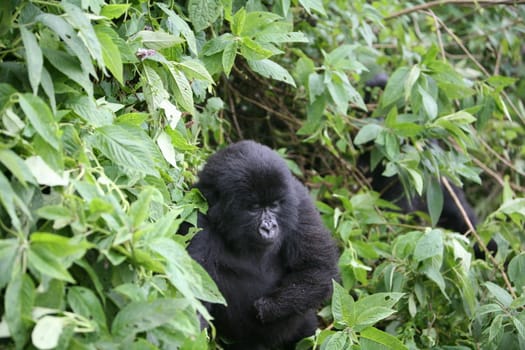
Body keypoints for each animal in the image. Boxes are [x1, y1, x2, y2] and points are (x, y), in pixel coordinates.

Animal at [186, 140, 338, 350]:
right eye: (254, 208)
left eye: (274, 205)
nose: (269, 227)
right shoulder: (198, 220)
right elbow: (195, 293)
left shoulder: (300, 202)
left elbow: (318, 268)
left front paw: (268, 307)